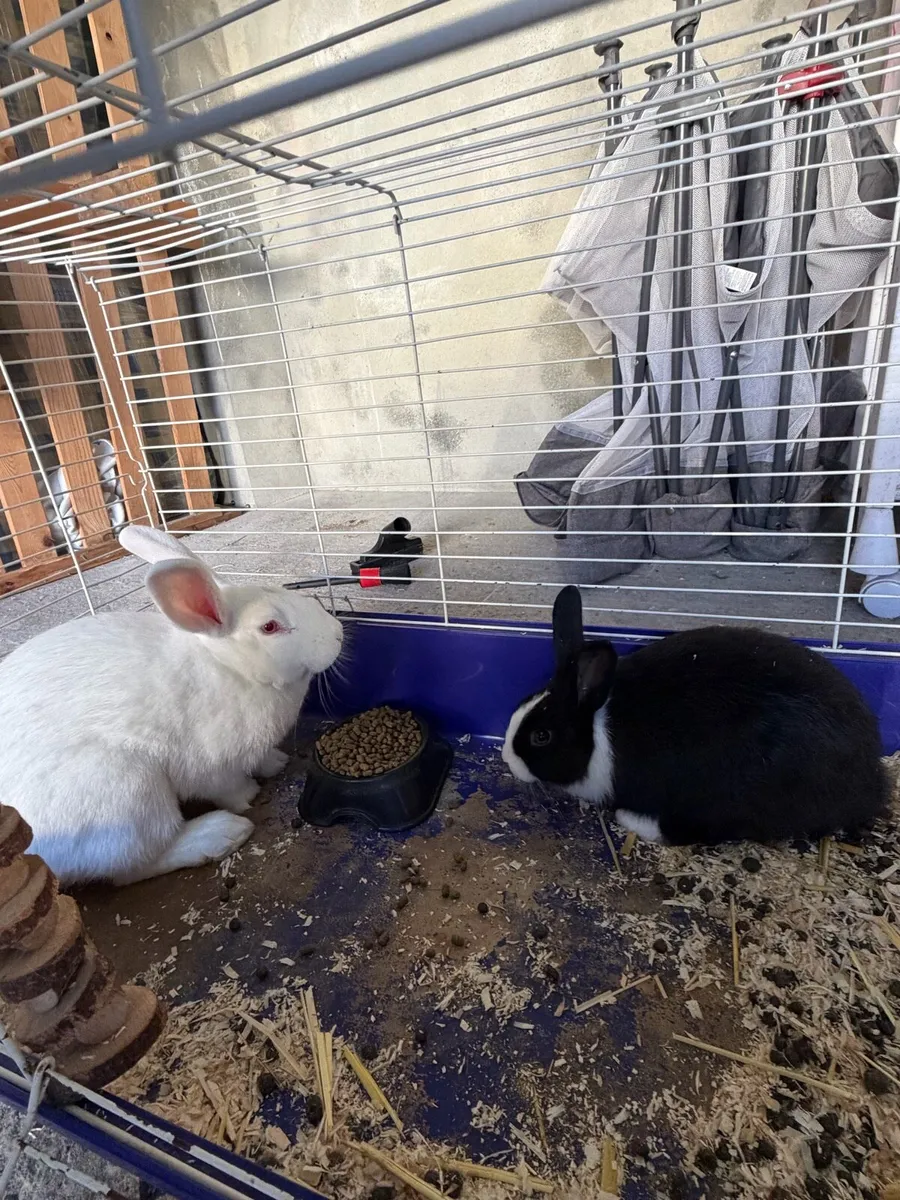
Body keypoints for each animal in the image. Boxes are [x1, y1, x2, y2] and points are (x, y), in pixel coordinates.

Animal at [0, 526, 343, 886]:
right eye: (270, 627)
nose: (337, 633)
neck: (230, 668)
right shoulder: (212, 767)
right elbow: (231, 789)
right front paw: (248, 795)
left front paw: (275, 763)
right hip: (129, 792)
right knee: (134, 863)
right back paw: (220, 833)